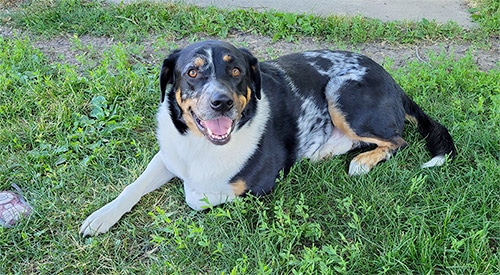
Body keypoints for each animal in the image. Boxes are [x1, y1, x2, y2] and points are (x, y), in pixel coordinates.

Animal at [80, 40, 456, 236]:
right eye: (192, 72)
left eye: (235, 70)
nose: (221, 102)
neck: (203, 145)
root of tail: (395, 83)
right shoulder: (170, 155)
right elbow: (133, 186)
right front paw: (102, 216)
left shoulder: (259, 185)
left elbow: (194, 195)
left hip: (342, 91)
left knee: (396, 141)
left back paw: (363, 161)